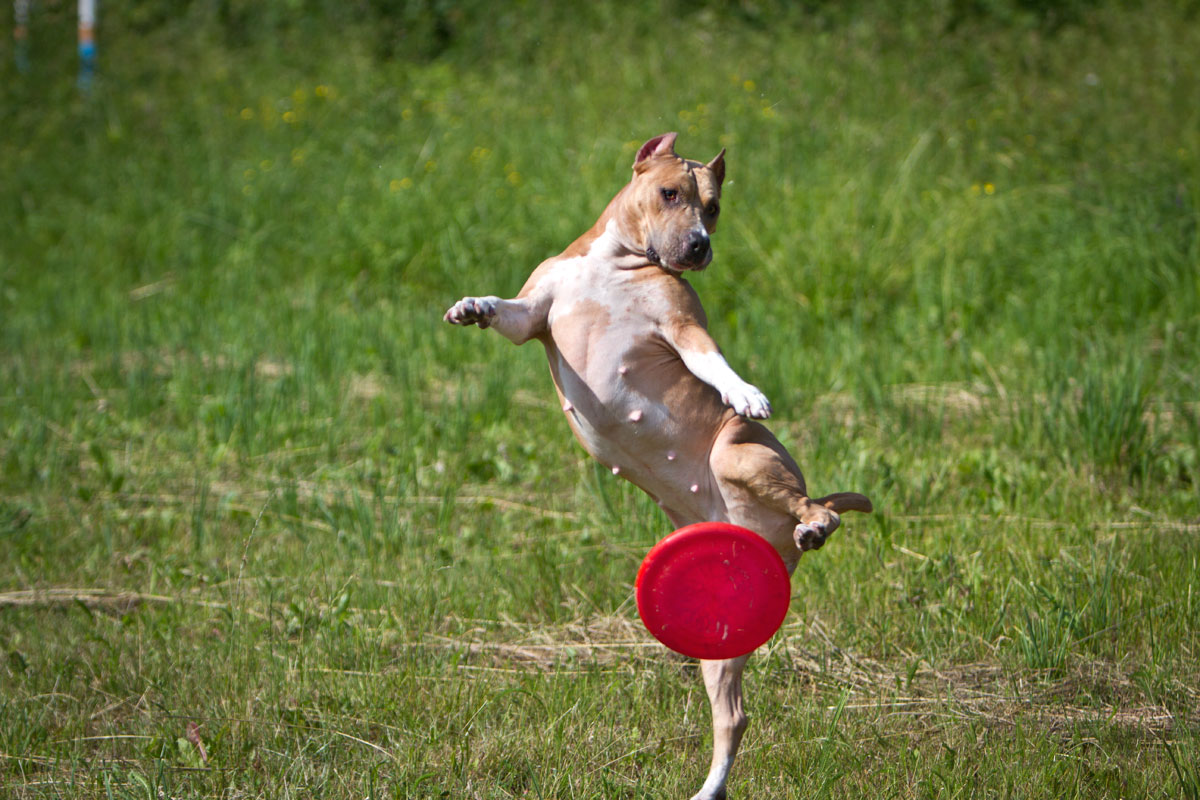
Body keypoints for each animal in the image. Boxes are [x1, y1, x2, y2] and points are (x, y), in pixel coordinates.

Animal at [446, 133, 868, 800]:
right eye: (670, 193)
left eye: (714, 207)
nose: (699, 245)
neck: (617, 263)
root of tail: (766, 536)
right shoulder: (533, 312)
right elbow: (505, 313)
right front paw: (470, 305)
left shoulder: (683, 326)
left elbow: (713, 362)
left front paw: (745, 391)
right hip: (721, 643)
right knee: (733, 716)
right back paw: (708, 788)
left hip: (737, 454)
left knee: (818, 511)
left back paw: (814, 523)